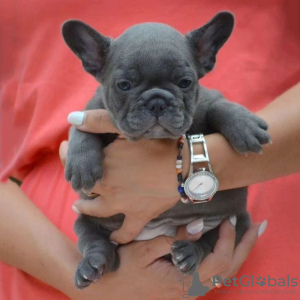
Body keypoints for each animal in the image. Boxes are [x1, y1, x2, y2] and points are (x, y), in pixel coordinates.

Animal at [62, 12, 270, 290]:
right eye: (124, 85)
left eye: (185, 83)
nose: (157, 102)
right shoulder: (90, 109)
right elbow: (80, 128)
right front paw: (81, 165)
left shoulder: (208, 98)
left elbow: (219, 106)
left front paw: (244, 125)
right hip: (84, 220)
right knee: (94, 240)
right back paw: (92, 265)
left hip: (237, 220)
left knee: (213, 239)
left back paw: (190, 252)